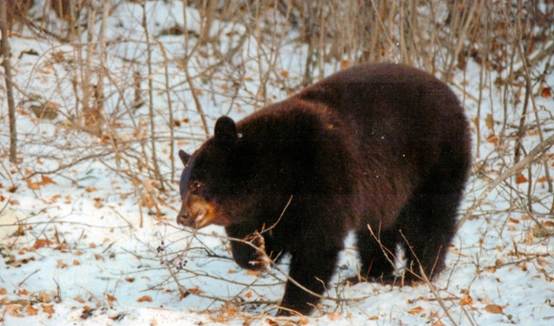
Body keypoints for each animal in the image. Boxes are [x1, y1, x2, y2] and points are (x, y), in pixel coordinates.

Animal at [175, 63, 468, 316]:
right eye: (182, 188)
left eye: (197, 184)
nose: (182, 217)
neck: (273, 171)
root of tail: (451, 94)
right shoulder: (268, 207)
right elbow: (258, 237)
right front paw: (257, 255)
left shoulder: (320, 176)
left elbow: (316, 245)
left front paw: (291, 308)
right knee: (375, 229)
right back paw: (369, 274)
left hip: (433, 160)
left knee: (428, 221)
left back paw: (416, 273)